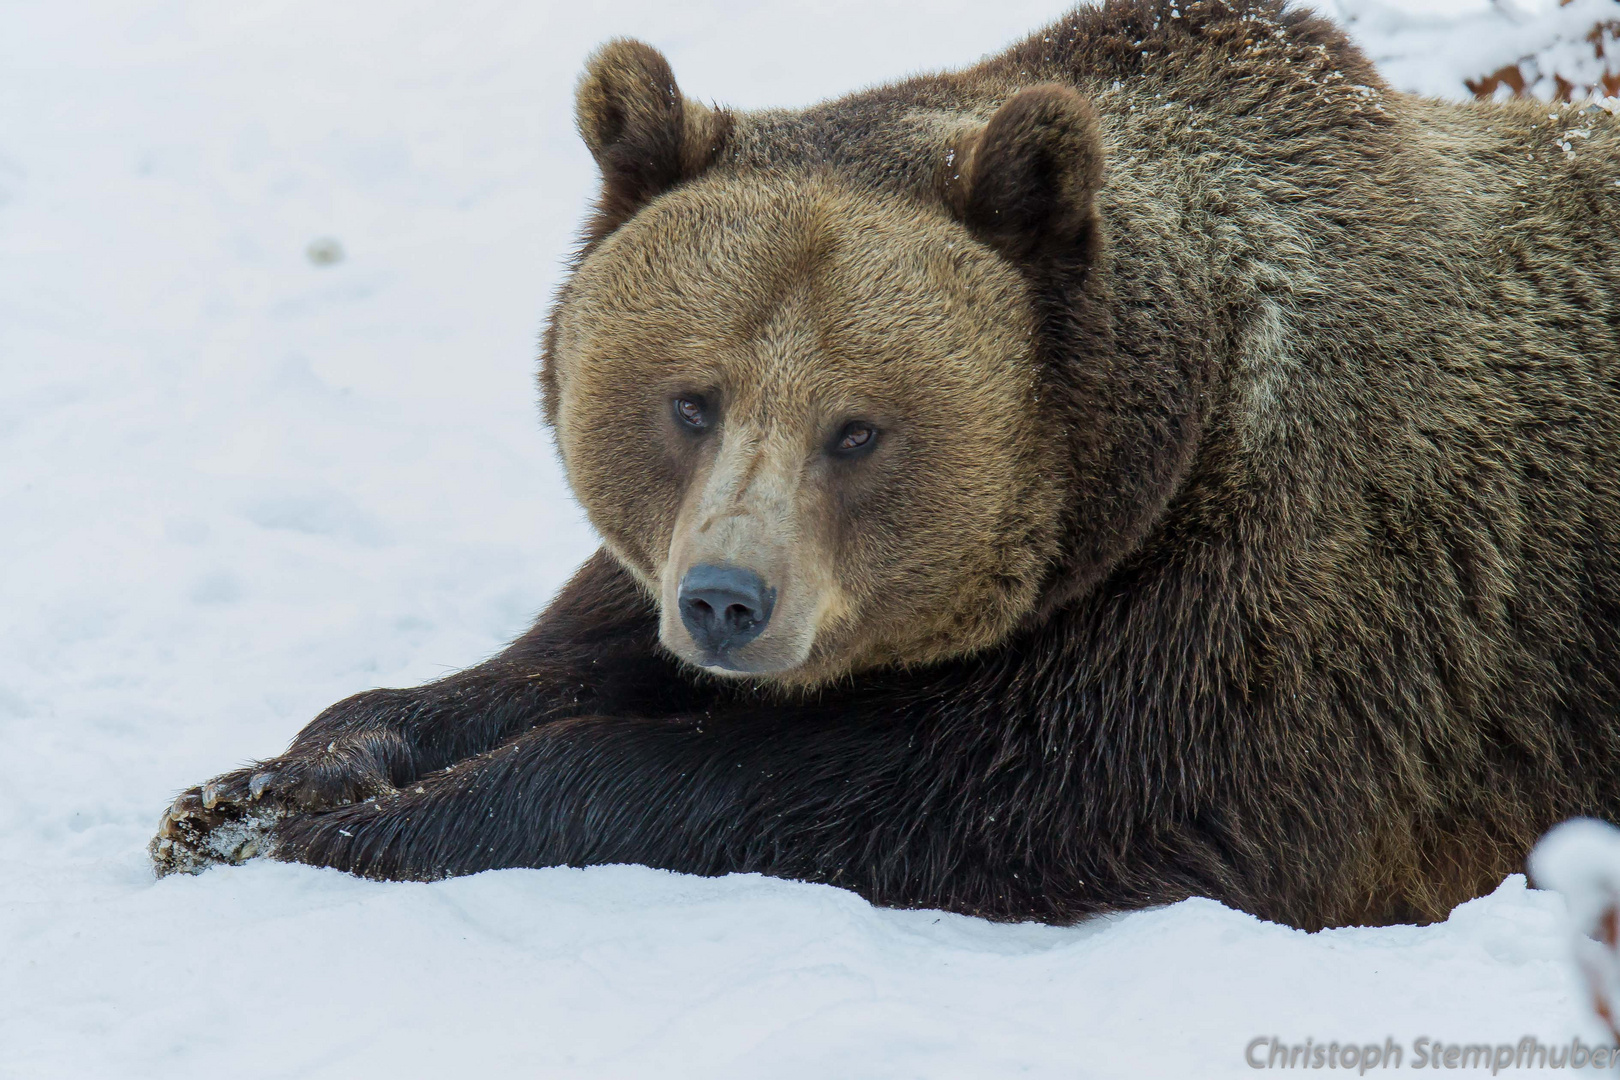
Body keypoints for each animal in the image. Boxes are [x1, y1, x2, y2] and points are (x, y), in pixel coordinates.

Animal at [152, 0, 1620, 932]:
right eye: (692, 401)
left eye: (857, 429)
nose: (728, 602)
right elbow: (552, 655)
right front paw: (263, 789)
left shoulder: (1259, 629)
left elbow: (924, 792)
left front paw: (369, 828)